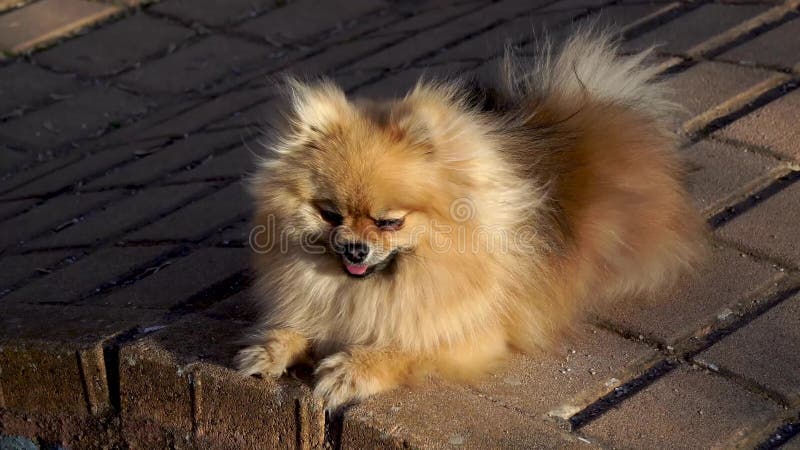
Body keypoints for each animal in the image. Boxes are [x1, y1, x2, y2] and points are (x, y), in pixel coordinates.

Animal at [236, 29, 708, 410]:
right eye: (330, 214)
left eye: (389, 222)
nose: (355, 249)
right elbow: (296, 325)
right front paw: (272, 346)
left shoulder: (471, 333)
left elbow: (409, 346)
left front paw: (355, 368)